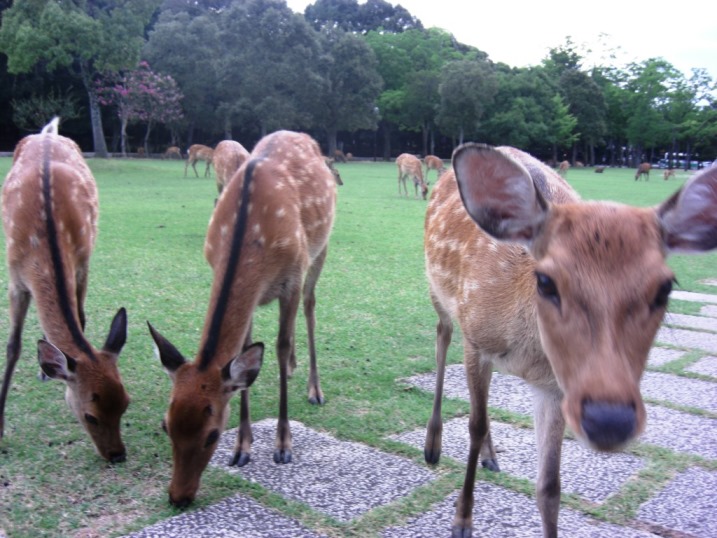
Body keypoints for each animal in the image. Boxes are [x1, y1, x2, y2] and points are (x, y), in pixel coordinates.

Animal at [0, 117, 130, 460]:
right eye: (90, 416)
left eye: (126, 405)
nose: (117, 454)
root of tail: (48, 134)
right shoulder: (15, 280)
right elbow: (13, 346)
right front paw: (0, 429)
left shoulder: (82, 262)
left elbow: (80, 319)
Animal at [147, 130, 338, 506]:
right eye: (166, 425)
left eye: (212, 434)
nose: (178, 496)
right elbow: (246, 355)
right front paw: (242, 448)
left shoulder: (292, 277)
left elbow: (278, 347)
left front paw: (283, 445)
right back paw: (293, 369)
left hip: (319, 251)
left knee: (309, 306)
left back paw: (314, 388)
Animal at [426, 142, 716, 536]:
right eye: (546, 281)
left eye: (665, 288)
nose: (609, 420)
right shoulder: (476, 340)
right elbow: (474, 425)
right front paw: (461, 520)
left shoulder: (556, 386)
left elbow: (549, 486)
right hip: (438, 293)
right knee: (442, 338)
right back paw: (433, 446)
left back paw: (492, 457)